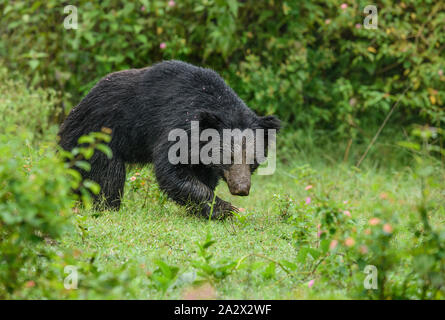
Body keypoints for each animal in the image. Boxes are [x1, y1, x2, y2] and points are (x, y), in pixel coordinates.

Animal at [58, 59, 280, 219]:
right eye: (228, 158)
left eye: (253, 160)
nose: (241, 189)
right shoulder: (176, 125)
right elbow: (172, 171)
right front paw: (225, 208)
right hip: (97, 138)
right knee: (107, 177)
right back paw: (107, 206)